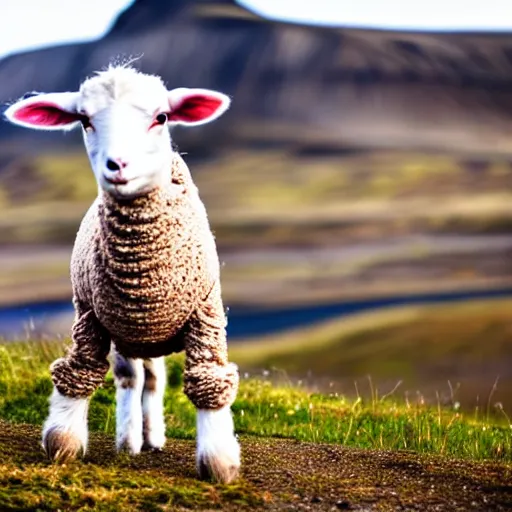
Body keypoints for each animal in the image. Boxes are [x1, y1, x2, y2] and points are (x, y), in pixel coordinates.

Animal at [4, 64, 240, 484]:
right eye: (84, 120)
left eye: (161, 117)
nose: (118, 166)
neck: (140, 269)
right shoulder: (90, 316)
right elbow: (81, 369)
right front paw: (64, 439)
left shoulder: (205, 313)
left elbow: (207, 378)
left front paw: (219, 459)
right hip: (127, 335)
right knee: (134, 378)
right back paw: (131, 439)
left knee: (155, 380)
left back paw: (153, 436)